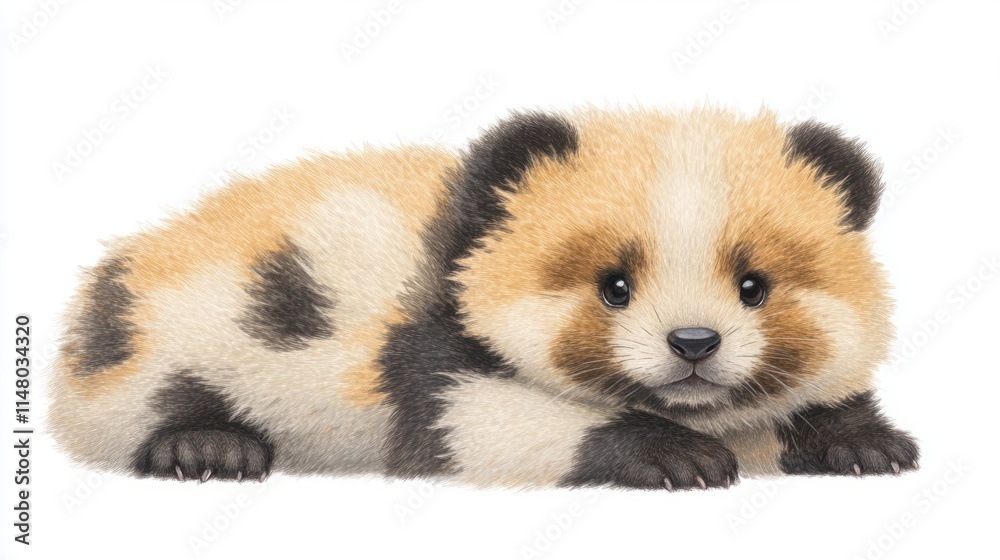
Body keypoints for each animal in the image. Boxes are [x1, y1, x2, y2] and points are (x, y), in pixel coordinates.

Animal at [49, 107, 919, 490]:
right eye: (613, 286)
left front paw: (861, 441)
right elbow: (472, 418)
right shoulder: (427, 334)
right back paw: (207, 447)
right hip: (174, 331)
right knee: (144, 402)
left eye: (753, 285)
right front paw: (673, 455)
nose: (694, 345)